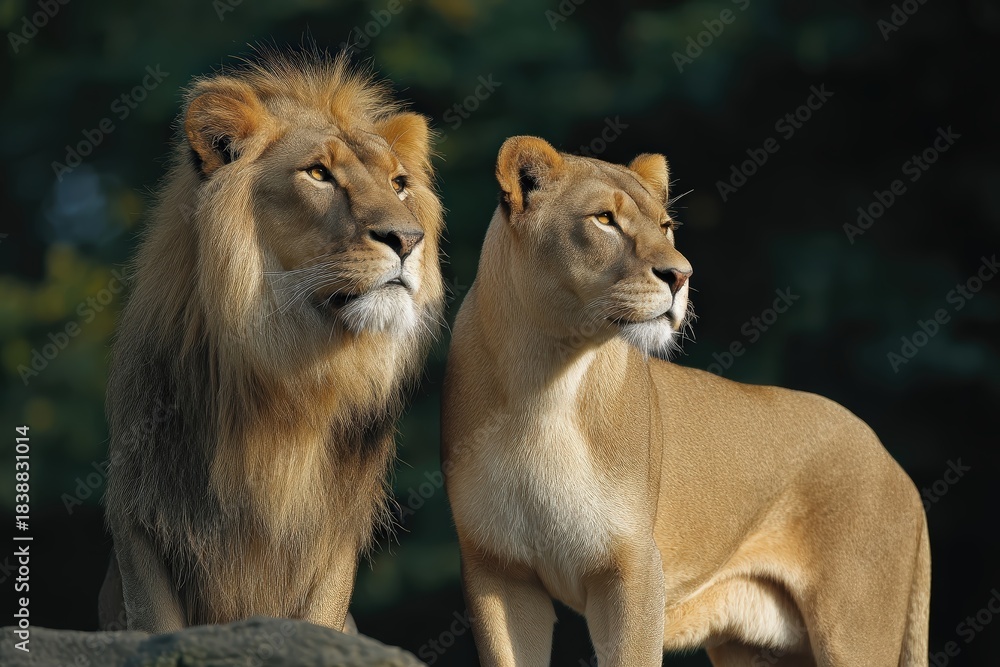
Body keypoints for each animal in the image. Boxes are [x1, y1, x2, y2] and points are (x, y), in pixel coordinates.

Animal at [99, 49, 445, 633]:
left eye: (399, 183)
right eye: (318, 173)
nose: (407, 239)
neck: (288, 365)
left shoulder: (334, 535)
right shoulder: (141, 514)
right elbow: (157, 625)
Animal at [441, 136, 929, 666]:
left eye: (666, 226)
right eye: (604, 219)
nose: (681, 275)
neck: (545, 379)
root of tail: (891, 461)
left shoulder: (633, 566)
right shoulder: (499, 570)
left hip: (852, 627)